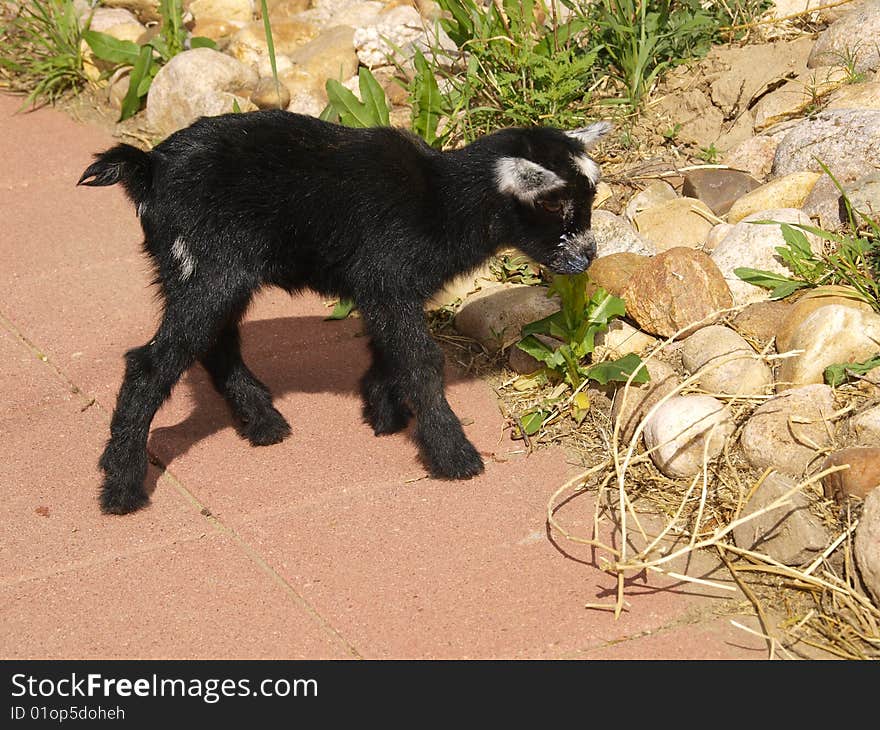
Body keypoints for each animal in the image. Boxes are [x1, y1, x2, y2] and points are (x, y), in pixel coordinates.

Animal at [79, 111, 608, 516]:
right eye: (555, 203)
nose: (587, 257)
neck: (439, 200)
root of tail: (149, 167)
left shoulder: (381, 290)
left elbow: (389, 350)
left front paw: (382, 411)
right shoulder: (388, 279)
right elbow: (421, 360)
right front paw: (453, 454)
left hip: (205, 273)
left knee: (216, 343)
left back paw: (263, 423)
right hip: (208, 268)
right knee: (150, 363)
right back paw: (122, 486)